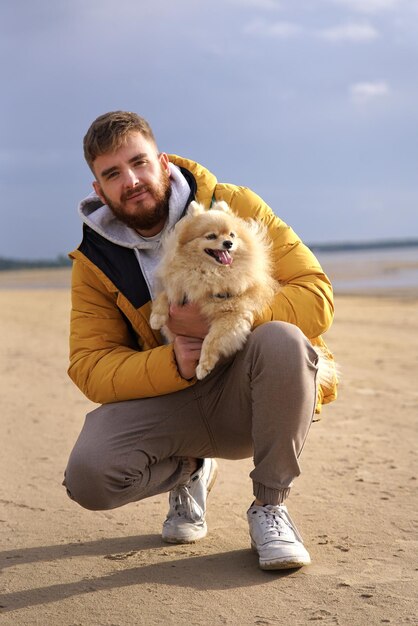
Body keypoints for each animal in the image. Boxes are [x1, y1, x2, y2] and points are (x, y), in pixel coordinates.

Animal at [150, 200, 278, 378]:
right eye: (211, 236)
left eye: (232, 235)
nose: (228, 243)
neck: (211, 272)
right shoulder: (180, 284)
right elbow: (164, 295)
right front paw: (156, 318)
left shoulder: (231, 314)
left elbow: (211, 340)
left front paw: (204, 366)